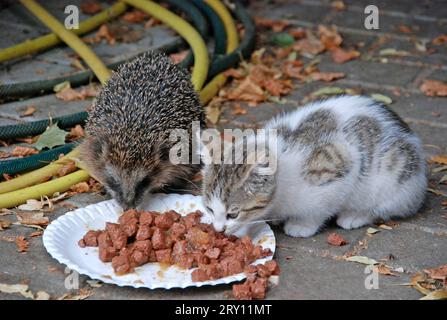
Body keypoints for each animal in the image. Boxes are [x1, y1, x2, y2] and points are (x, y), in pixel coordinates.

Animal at [201, 95, 428, 238]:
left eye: (233, 214)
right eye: (210, 209)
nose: (218, 230)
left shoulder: (340, 165)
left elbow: (321, 207)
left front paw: (302, 225)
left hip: (392, 177)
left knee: (383, 206)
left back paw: (355, 215)